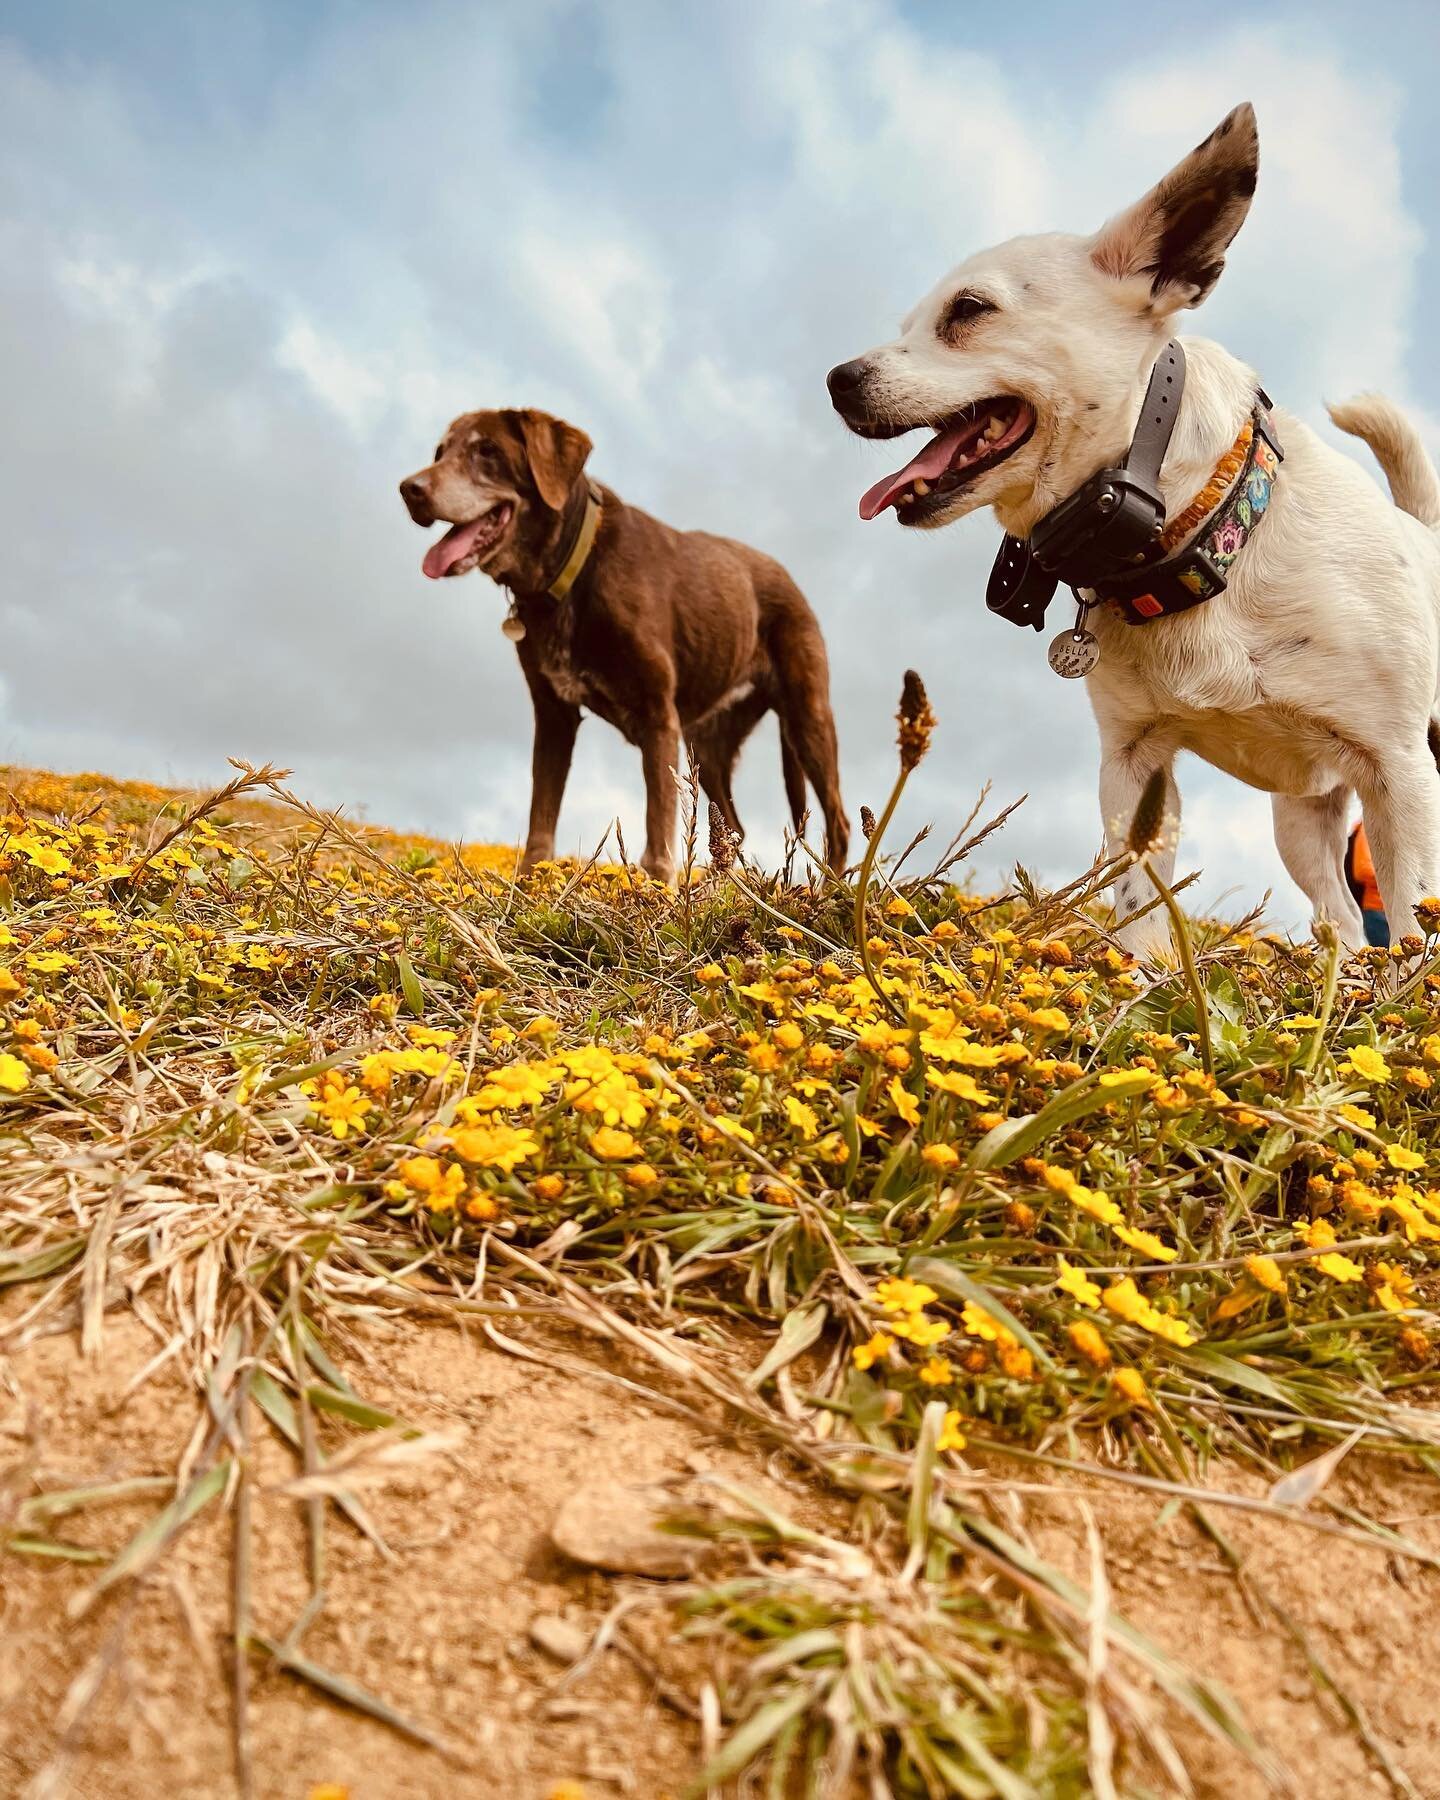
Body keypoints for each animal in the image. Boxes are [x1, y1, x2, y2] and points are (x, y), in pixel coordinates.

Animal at [396, 410, 842, 885]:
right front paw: (529, 882)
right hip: (709, 746)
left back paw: (832, 885)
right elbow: (541, 818)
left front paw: (659, 887)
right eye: (439, 452)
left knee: (839, 821)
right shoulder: (553, 716)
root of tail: (789, 579)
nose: (409, 489)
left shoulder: (659, 715)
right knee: (733, 829)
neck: (574, 567)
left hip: (807, 717)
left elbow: (657, 822)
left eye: (487, 450)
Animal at [828, 102, 1440, 957]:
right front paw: (1144, 972)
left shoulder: (1401, 774)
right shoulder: (1134, 769)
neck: (1200, 536)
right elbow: (1139, 906)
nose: (837, 379)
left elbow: (1415, 923)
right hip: (1302, 822)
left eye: (969, 311)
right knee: (1341, 917)